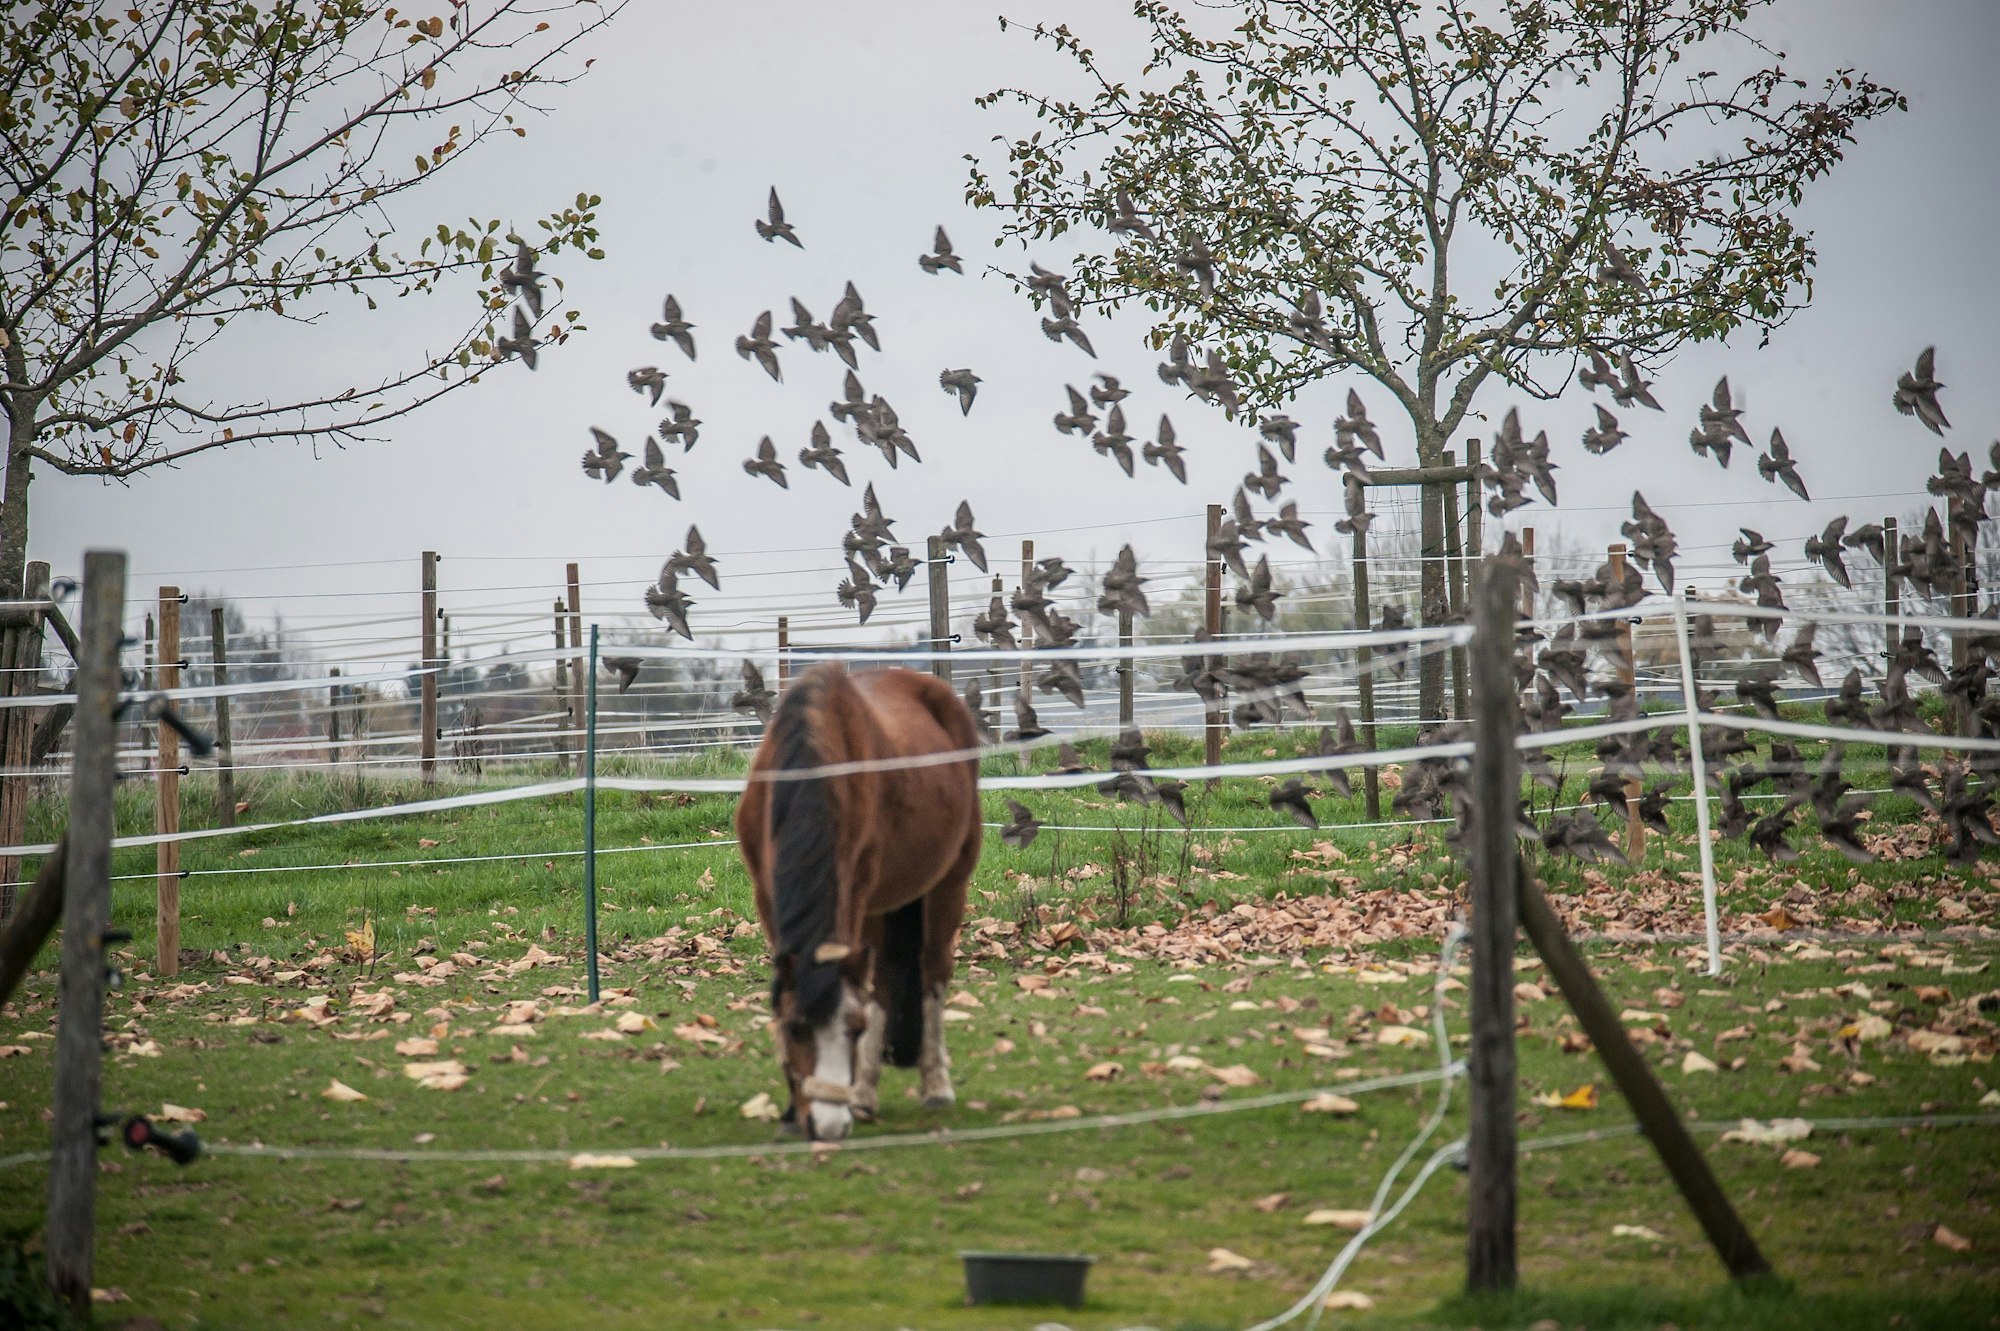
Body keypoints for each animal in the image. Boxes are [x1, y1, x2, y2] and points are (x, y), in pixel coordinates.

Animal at [734, 663, 983, 1140]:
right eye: (795, 1029)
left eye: (855, 1029)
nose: (829, 1126)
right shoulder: (765, 893)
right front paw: (790, 1114)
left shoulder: (859, 893)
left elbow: (874, 994)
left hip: (945, 887)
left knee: (927, 975)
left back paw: (923, 1086)